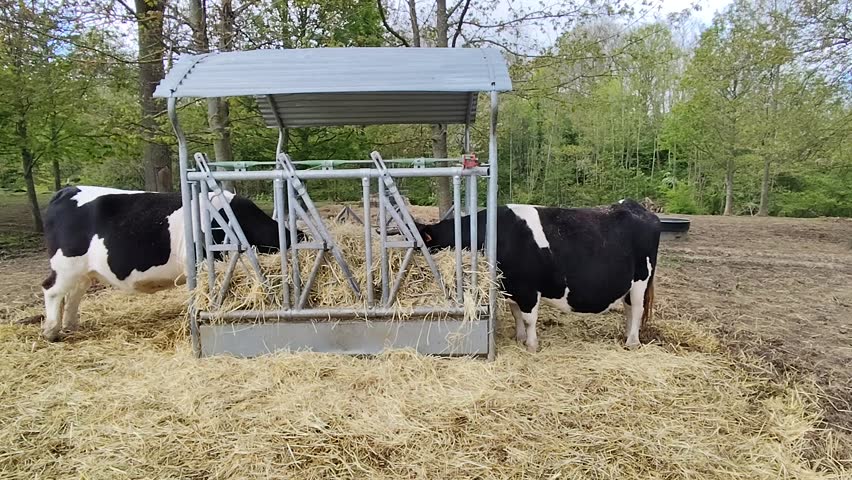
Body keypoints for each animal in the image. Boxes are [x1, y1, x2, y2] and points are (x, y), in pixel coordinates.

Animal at [40, 185, 300, 342]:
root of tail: (67, 190)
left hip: (82, 272)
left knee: (74, 294)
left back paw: (71, 325)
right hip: (65, 266)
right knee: (51, 290)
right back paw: (51, 331)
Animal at [414, 199, 661, 353]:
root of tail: (636, 206)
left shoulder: (528, 289)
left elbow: (528, 318)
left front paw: (532, 345)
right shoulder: (512, 287)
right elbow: (516, 314)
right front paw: (520, 337)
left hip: (642, 278)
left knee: (637, 310)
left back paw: (632, 342)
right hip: (630, 283)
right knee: (629, 308)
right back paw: (627, 335)